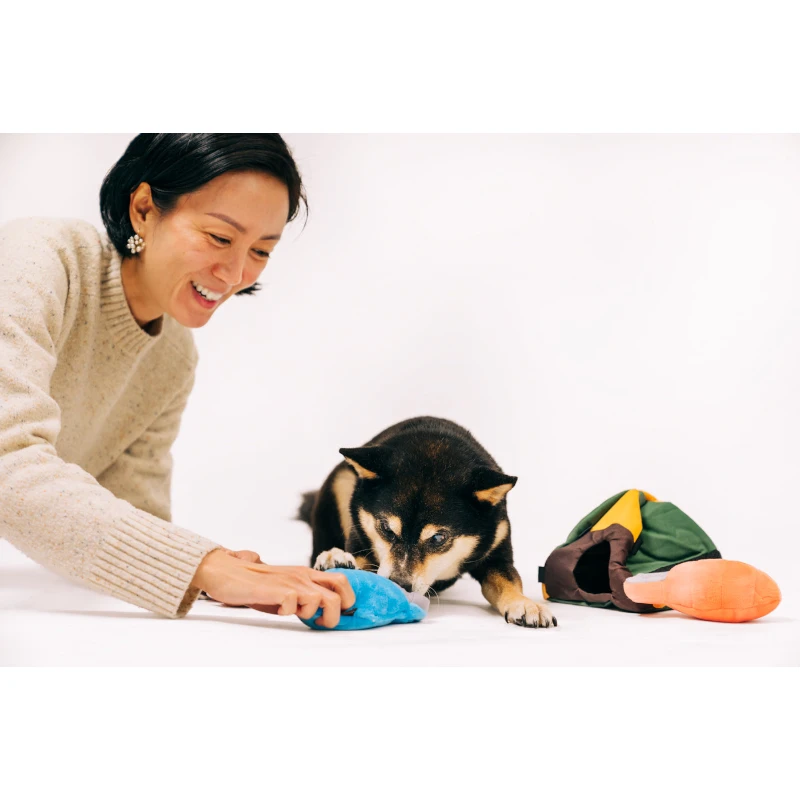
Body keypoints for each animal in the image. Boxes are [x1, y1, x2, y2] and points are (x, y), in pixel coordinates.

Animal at [296, 416, 556, 628]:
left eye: (438, 538)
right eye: (386, 529)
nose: (399, 584)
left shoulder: (497, 548)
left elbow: (509, 581)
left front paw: (526, 605)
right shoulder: (362, 538)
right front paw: (336, 562)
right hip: (339, 480)